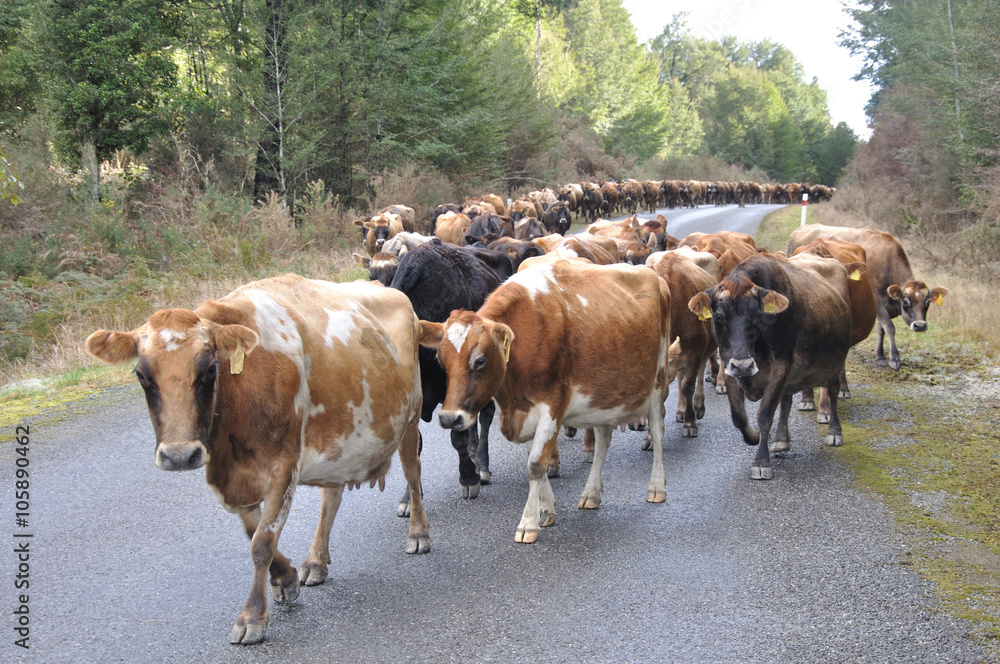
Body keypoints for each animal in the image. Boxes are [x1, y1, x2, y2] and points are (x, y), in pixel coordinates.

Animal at [84, 274, 428, 644]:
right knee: (331, 497)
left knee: (413, 473)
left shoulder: (284, 465)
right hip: (340, 440)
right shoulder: (229, 479)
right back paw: (315, 560)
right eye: (142, 376)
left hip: (410, 417)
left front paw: (252, 616)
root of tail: (384, 286)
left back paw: (418, 532)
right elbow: (254, 532)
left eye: (209, 369)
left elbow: (262, 542)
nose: (179, 455)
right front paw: (285, 578)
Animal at [388, 239, 512, 508]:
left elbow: (458, 437)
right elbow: (415, 446)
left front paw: (468, 479)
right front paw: (410, 497)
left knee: (485, 416)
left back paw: (481, 465)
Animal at [414, 260, 672, 544]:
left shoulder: (552, 406)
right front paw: (546, 510)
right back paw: (592, 492)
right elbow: (536, 460)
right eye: (441, 361)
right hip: (603, 397)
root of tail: (651, 273)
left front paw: (528, 523)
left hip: (658, 380)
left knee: (658, 430)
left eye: (479, 360)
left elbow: (536, 465)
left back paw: (657, 486)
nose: (450, 418)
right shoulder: (524, 413)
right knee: (604, 439)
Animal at [784, 224, 948, 370]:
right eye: (905, 302)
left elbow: (881, 329)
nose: (920, 326)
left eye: (928, 302)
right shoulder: (878, 301)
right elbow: (890, 327)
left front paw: (880, 356)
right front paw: (894, 359)